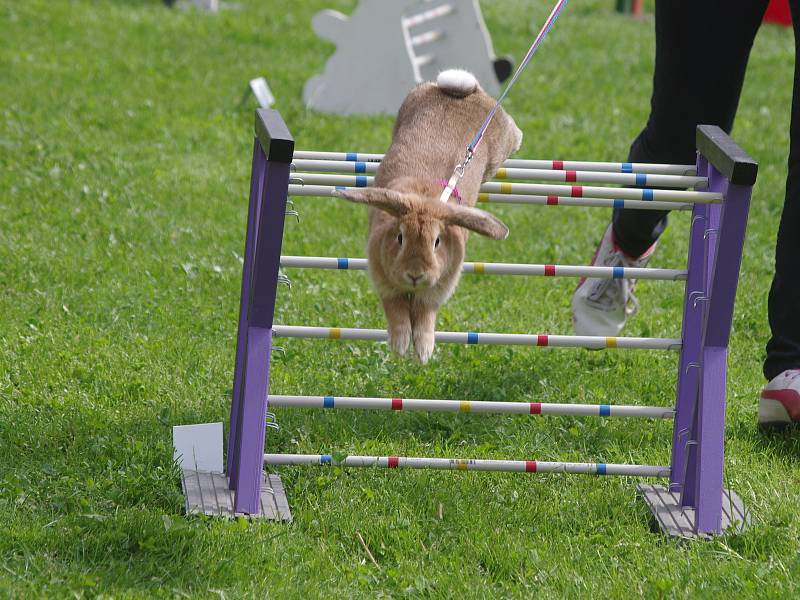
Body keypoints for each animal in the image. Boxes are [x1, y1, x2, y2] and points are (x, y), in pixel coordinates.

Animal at [334, 68, 520, 364]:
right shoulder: (385, 284)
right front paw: (400, 346)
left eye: (437, 242)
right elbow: (396, 312)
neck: (425, 199)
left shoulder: (435, 293)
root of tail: (464, 90)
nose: (415, 274)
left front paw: (423, 352)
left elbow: (424, 318)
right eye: (400, 238)